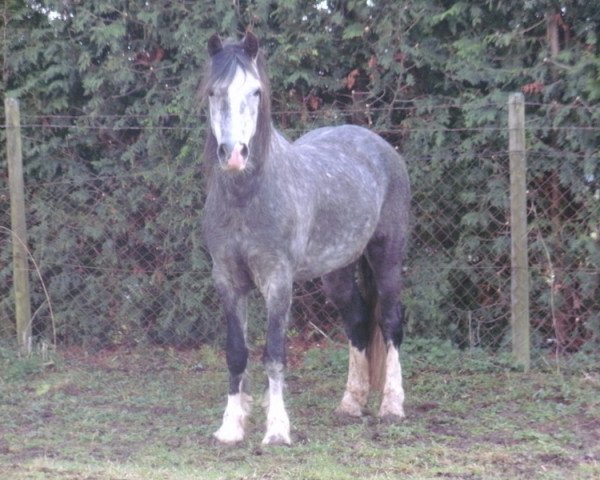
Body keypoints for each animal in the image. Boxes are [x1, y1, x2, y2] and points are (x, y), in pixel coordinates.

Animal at [199, 32, 410, 446]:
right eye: (214, 92)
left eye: (256, 91)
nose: (234, 154)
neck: (247, 198)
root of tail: (381, 147)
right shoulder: (228, 280)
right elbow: (236, 352)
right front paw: (231, 427)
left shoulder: (278, 281)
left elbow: (274, 353)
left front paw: (277, 430)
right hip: (338, 270)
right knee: (358, 321)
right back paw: (350, 404)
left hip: (387, 256)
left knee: (390, 321)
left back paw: (392, 406)